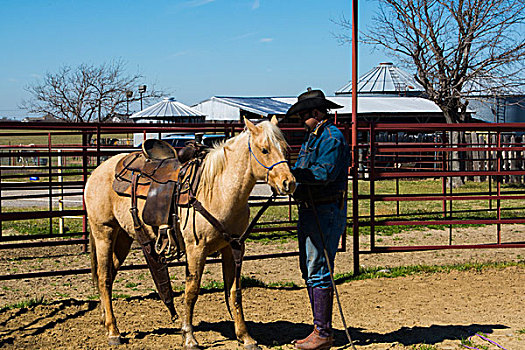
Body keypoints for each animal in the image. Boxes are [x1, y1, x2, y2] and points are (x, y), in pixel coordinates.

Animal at [84, 117, 292, 348]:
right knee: (104, 277)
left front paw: (245, 336)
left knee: (109, 276)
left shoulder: (233, 247)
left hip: (123, 238)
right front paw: (189, 337)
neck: (217, 190)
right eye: (264, 149)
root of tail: (98, 170)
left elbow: (234, 292)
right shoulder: (196, 249)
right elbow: (191, 291)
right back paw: (113, 332)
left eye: (285, 148)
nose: (288, 182)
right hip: (104, 232)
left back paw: (105, 320)